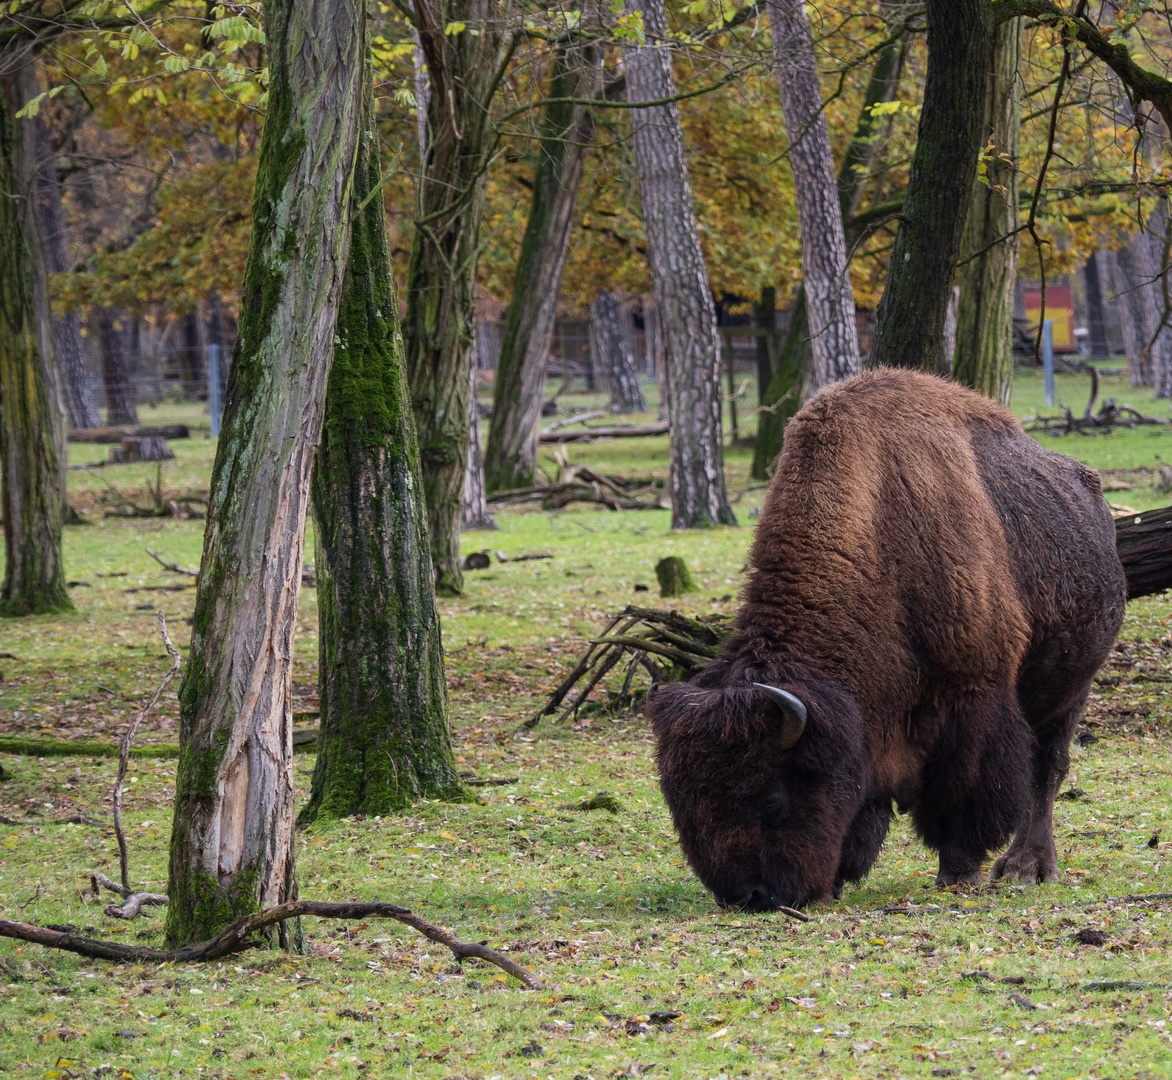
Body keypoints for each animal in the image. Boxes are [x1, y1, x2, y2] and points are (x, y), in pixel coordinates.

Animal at [651, 367, 1125, 908]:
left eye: (772, 795)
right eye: (680, 801)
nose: (751, 895)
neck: (879, 537)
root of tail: (1093, 498)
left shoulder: (973, 695)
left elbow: (965, 792)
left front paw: (959, 872)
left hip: (1072, 687)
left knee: (1046, 769)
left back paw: (1027, 867)